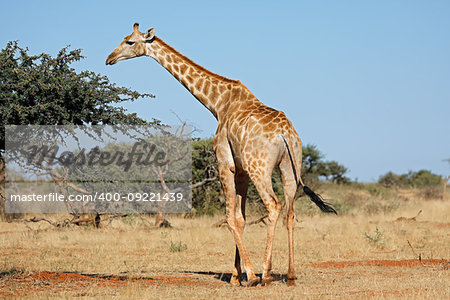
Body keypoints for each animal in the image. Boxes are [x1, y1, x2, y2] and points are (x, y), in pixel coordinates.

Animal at [107, 22, 336, 286]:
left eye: (130, 42)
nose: (109, 58)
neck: (217, 103)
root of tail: (285, 134)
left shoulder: (225, 163)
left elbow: (229, 217)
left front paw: (249, 275)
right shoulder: (242, 171)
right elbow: (241, 218)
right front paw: (236, 276)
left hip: (260, 168)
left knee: (273, 205)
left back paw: (266, 274)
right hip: (289, 166)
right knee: (289, 212)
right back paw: (290, 275)